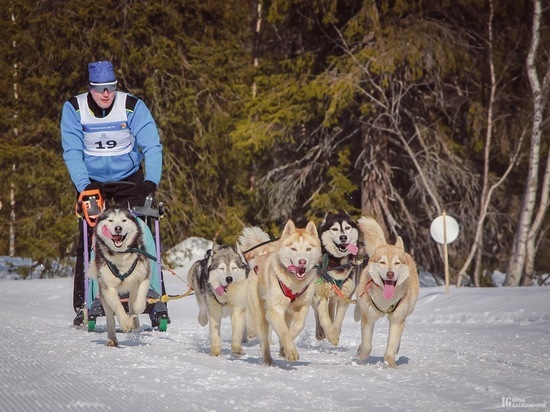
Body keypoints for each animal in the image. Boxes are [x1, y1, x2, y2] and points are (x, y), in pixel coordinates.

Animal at [89, 206, 152, 348]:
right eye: (110, 220)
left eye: (123, 220)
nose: (118, 228)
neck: (121, 255)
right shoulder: (108, 288)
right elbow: (118, 306)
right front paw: (125, 322)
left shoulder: (143, 278)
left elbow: (138, 304)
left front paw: (133, 318)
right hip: (104, 297)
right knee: (110, 318)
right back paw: (112, 338)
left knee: (131, 302)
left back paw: (135, 321)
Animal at [242, 220, 324, 366]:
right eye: (293, 249)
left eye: (308, 249)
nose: (302, 262)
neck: (294, 284)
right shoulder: (275, 310)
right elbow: (284, 333)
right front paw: (291, 351)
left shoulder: (302, 307)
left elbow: (296, 328)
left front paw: (284, 349)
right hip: (260, 315)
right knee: (264, 340)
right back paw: (267, 359)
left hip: (288, 314)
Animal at [314, 211, 362, 346]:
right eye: (334, 229)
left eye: (347, 228)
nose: (343, 237)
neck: (337, 262)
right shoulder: (319, 294)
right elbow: (324, 318)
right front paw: (331, 336)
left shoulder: (345, 295)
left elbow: (338, 318)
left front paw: (335, 332)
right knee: (317, 314)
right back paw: (320, 332)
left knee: (331, 308)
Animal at [356, 216, 420, 366]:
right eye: (382, 262)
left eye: (397, 263)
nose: (390, 274)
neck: (385, 301)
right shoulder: (368, 317)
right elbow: (366, 346)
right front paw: (360, 356)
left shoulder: (397, 319)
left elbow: (391, 348)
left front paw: (391, 365)